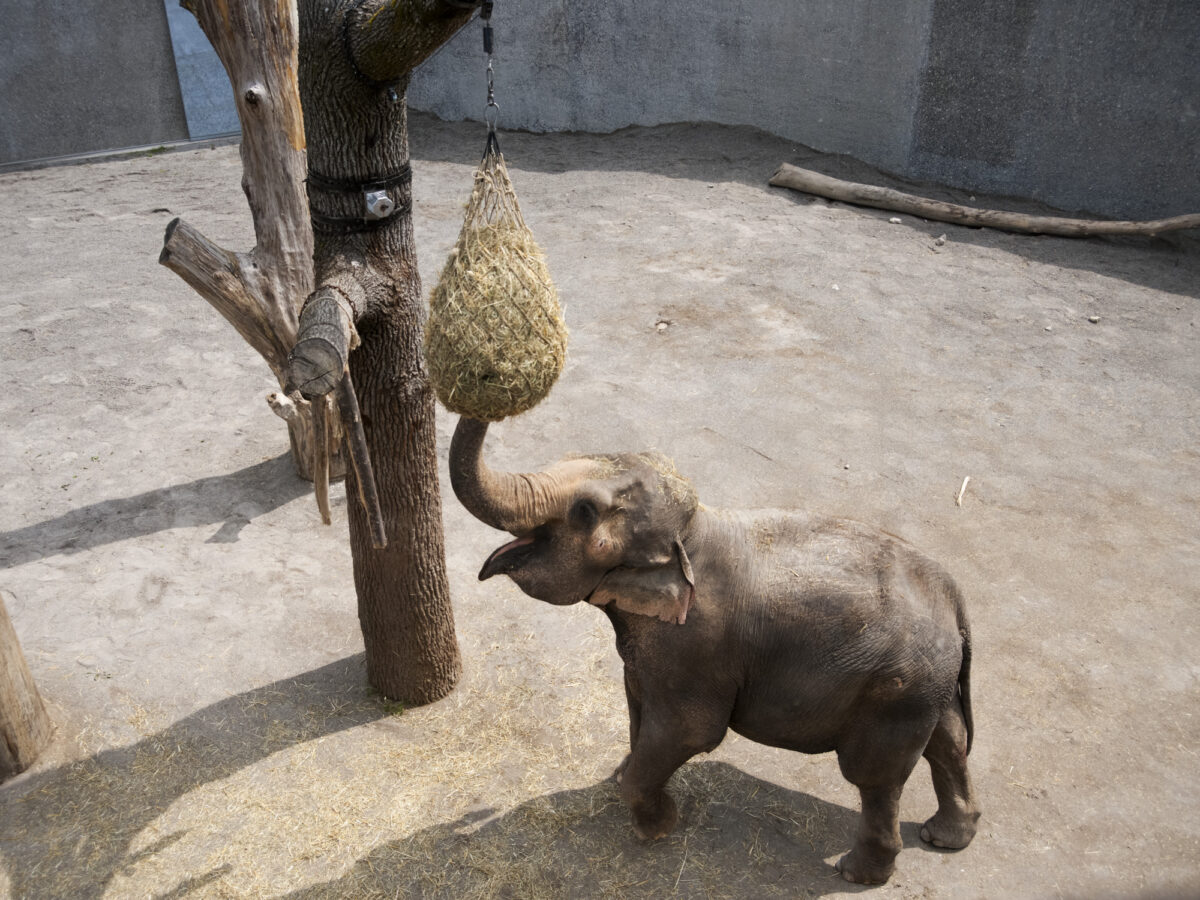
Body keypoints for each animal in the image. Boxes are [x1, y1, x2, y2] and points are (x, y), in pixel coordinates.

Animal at [449, 416, 980, 885]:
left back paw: (856, 873)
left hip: (894, 691)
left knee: (876, 778)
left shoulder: (696, 648)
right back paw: (945, 836)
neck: (692, 531)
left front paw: (658, 828)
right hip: (926, 686)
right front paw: (622, 776)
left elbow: (691, 731)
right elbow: (637, 706)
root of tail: (956, 602)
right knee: (949, 740)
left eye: (583, 511)